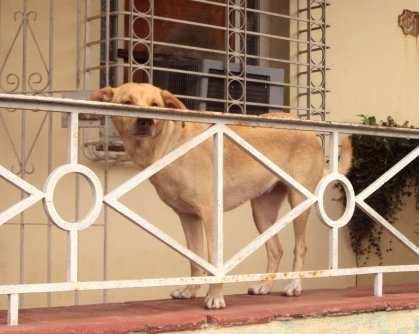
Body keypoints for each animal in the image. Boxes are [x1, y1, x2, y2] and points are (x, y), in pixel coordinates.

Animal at [92, 82, 354, 310]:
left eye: (155, 104)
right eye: (126, 102)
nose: (145, 120)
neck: (170, 145)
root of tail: (307, 130)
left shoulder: (210, 215)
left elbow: (213, 262)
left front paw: (215, 298)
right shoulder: (188, 217)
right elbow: (196, 259)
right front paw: (190, 291)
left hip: (299, 202)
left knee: (300, 248)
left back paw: (293, 286)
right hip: (262, 210)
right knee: (275, 249)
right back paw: (264, 285)